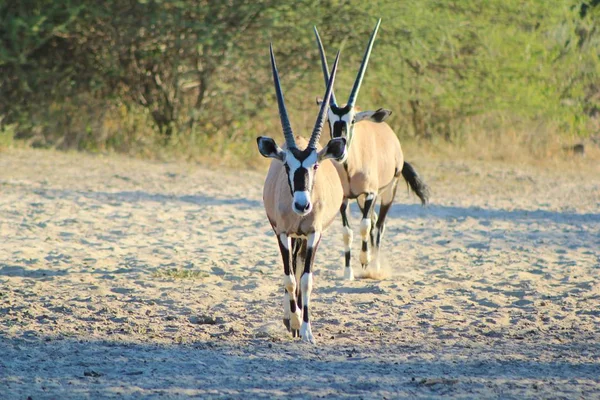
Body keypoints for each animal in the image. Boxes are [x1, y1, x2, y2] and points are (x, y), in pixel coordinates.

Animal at [255, 43, 344, 344]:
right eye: (287, 165)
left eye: (315, 165)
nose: (302, 205)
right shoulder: (281, 233)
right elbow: (289, 277)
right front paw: (293, 321)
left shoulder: (315, 233)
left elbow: (306, 279)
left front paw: (306, 330)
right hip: (290, 236)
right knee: (290, 269)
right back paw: (288, 316)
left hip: (304, 237)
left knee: (299, 266)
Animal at [314, 20, 432, 280]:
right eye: (328, 120)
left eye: (353, 120)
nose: (339, 151)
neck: (350, 167)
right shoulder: (345, 198)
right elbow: (347, 231)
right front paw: (348, 272)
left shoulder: (369, 193)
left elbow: (364, 226)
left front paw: (365, 261)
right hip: (362, 198)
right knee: (374, 221)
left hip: (388, 191)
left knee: (379, 225)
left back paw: (375, 266)